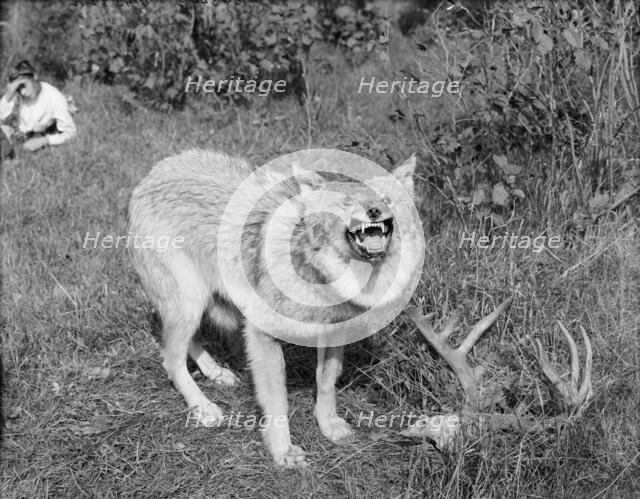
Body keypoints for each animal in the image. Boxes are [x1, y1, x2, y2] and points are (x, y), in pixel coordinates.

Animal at [128, 149, 422, 467]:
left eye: (386, 199)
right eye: (346, 202)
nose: (374, 211)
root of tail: (151, 174)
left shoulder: (333, 335)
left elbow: (326, 382)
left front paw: (329, 425)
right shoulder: (261, 333)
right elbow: (277, 400)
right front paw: (282, 452)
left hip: (198, 305)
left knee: (182, 347)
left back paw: (216, 373)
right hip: (190, 302)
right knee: (170, 359)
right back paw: (204, 408)